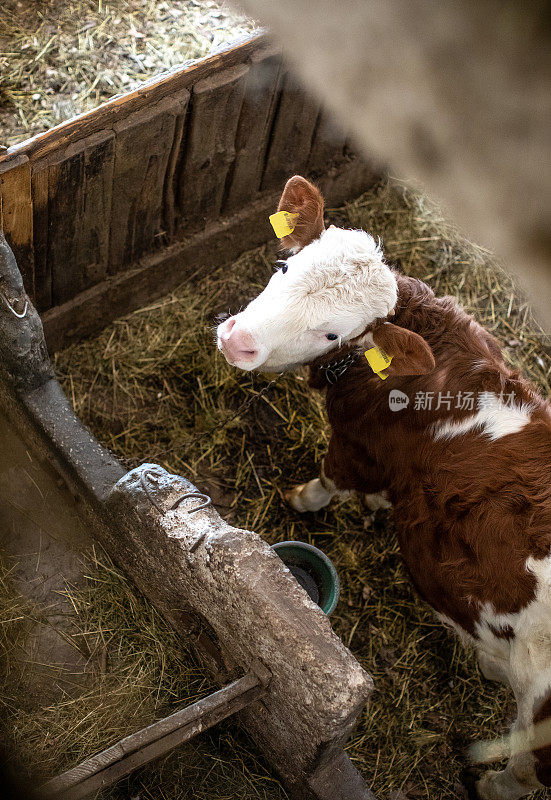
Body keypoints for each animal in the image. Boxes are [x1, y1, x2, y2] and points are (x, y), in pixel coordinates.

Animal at [216, 177, 551, 800]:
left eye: (332, 332)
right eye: (282, 266)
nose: (239, 340)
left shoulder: (356, 449)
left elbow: (330, 480)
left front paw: (302, 500)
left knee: (521, 770)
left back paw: (490, 783)